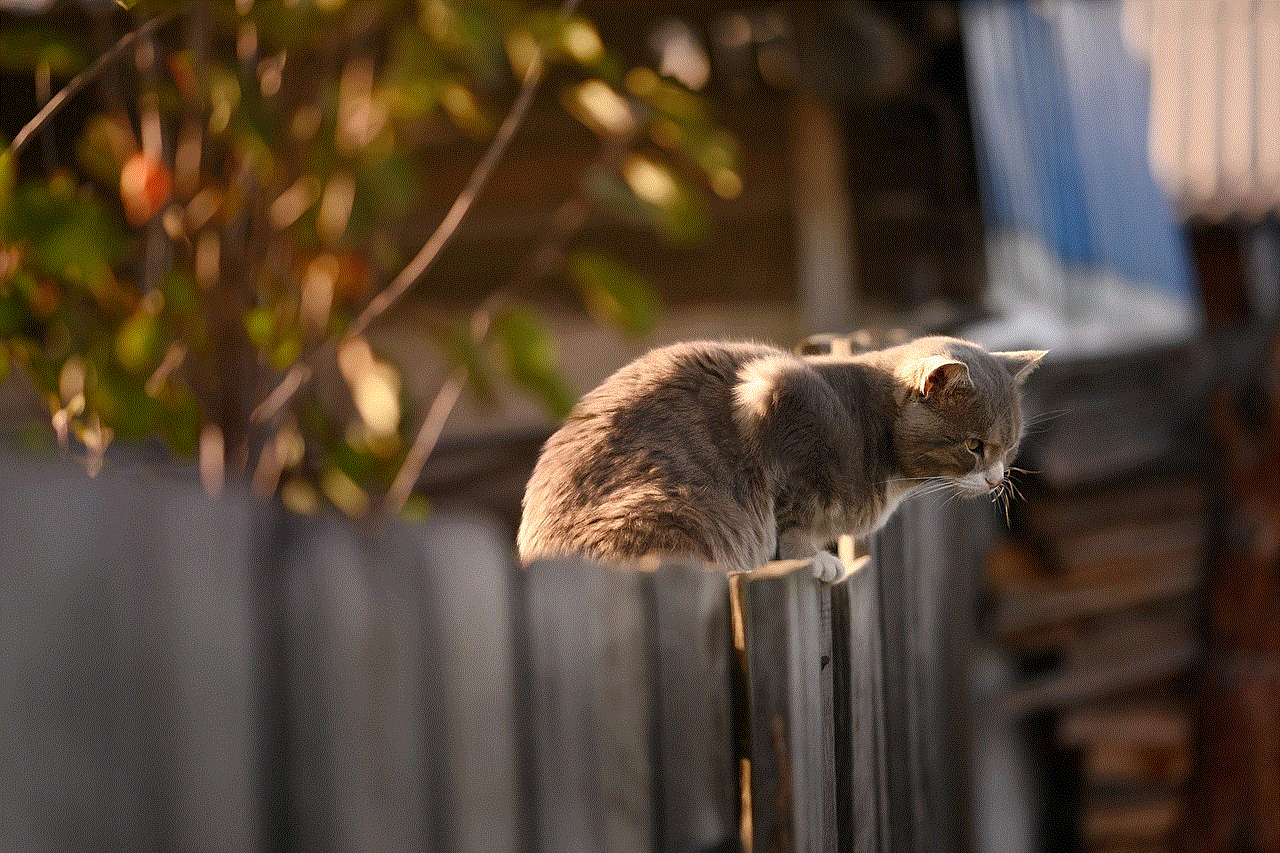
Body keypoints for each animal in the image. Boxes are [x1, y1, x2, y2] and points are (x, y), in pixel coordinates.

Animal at [514, 333, 1044, 578]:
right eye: (974, 446)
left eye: (1009, 447)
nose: (997, 479)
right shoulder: (774, 392)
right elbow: (790, 518)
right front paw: (815, 558)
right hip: (669, 507)